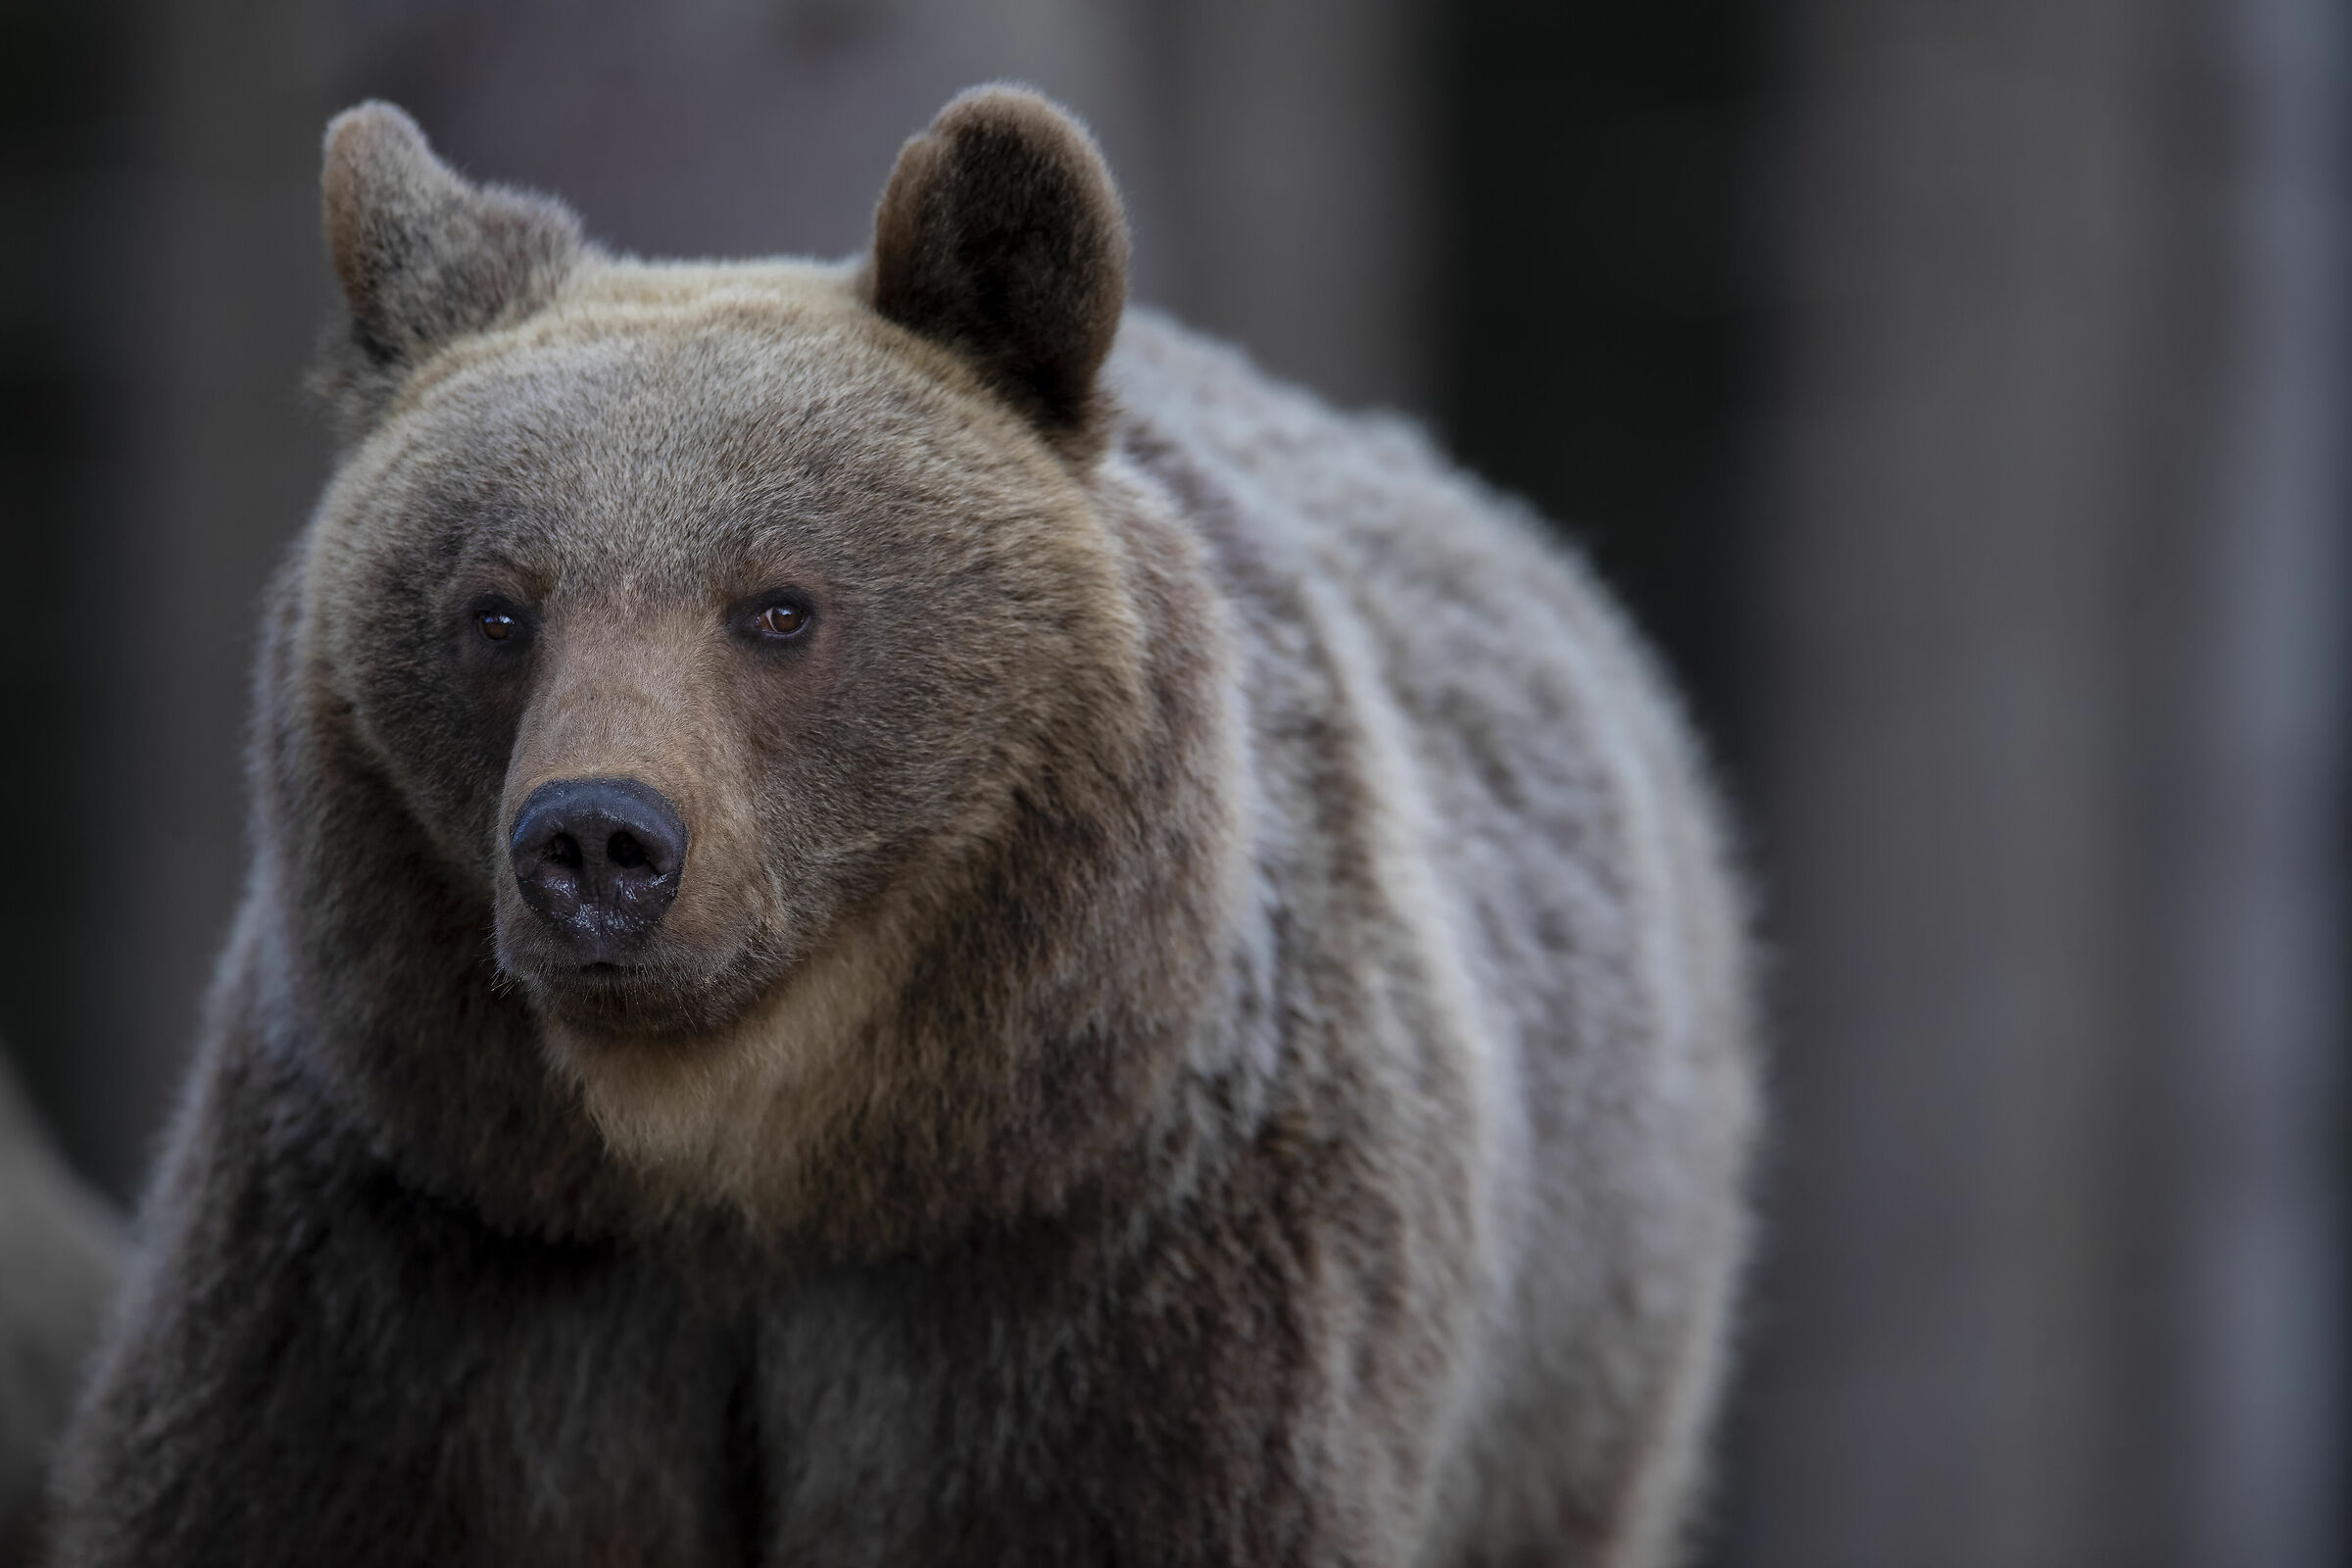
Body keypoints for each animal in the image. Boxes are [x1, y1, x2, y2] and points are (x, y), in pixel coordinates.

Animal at [48, 87, 1756, 1567]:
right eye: (496, 610)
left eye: (778, 605)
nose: (597, 844)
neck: (748, 1173)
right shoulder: (428, 1274)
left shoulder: (1102, 1282)